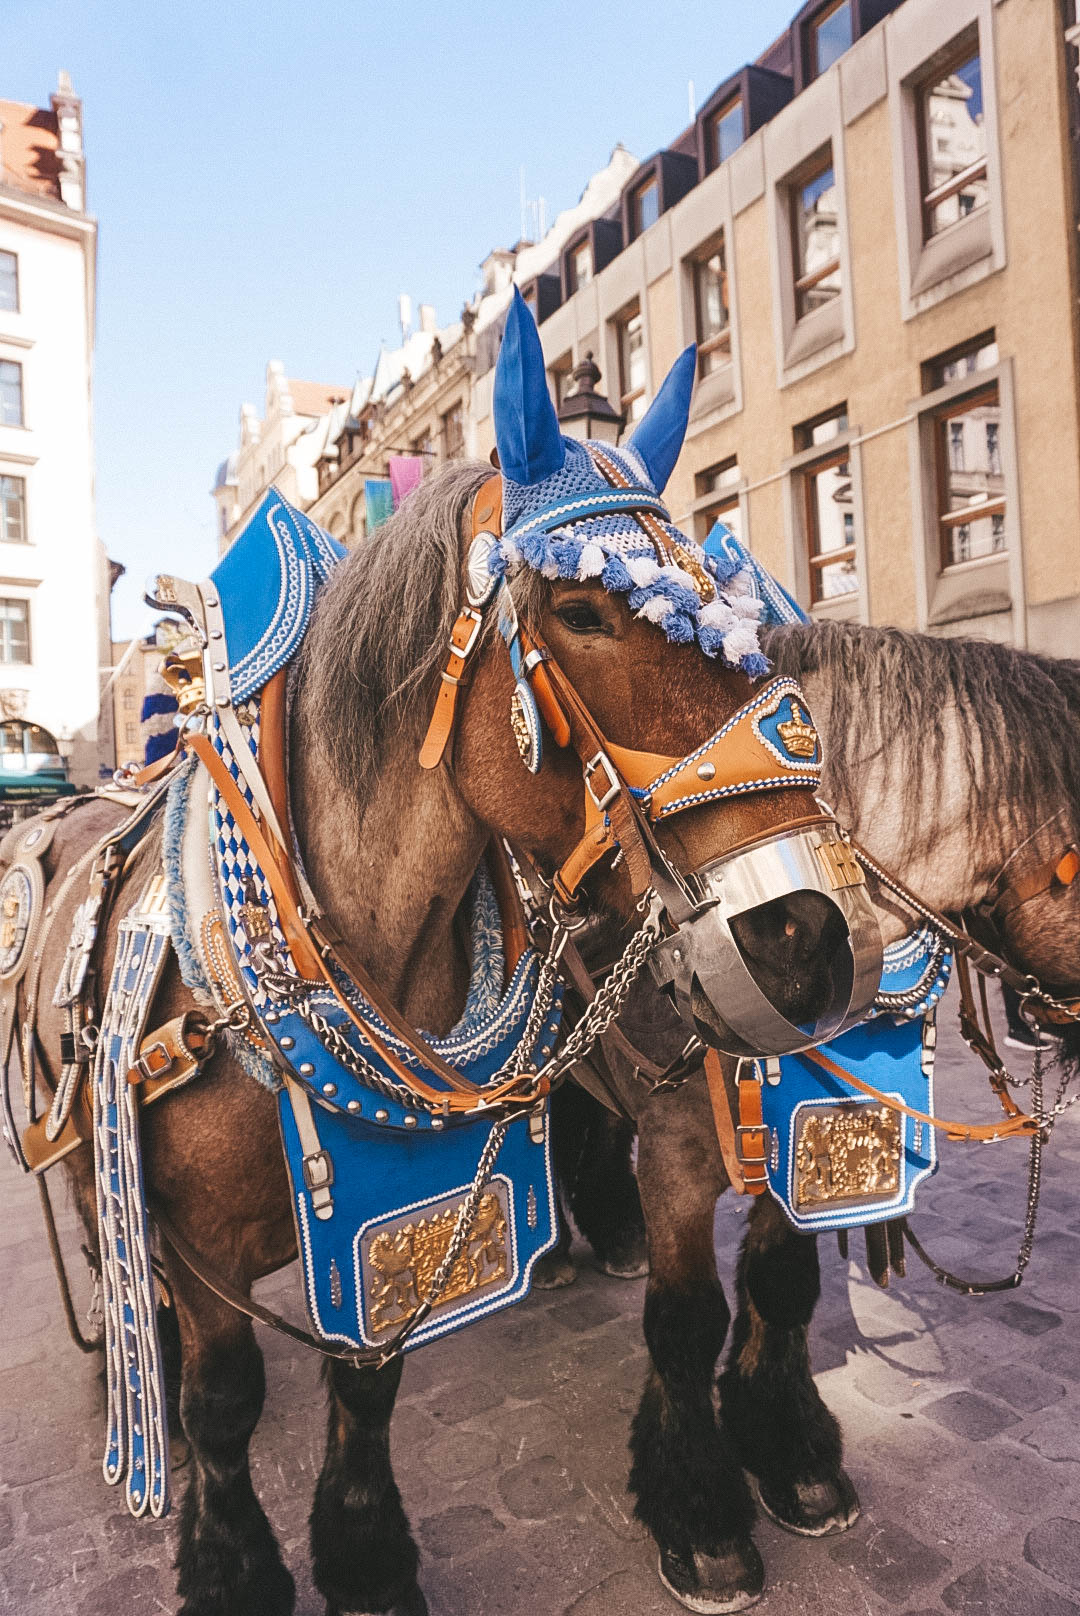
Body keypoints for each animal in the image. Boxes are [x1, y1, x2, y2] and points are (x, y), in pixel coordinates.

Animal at [2, 294, 879, 1616]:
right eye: (585, 611)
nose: (807, 938)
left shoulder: (392, 1212)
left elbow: (369, 1378)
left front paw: (366, 1556)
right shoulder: (205, 1251)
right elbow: (220, 1402)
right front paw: (232, 1564)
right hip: (74, 1138)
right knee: (115, 1253)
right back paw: (128, 1380)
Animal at [549, 617, 1080, 1616]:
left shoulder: (804, 1145)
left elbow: (781, 1284)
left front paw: (792, 1457)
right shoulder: (679, 1157)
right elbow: (685, 1321)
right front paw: (701, 1520)